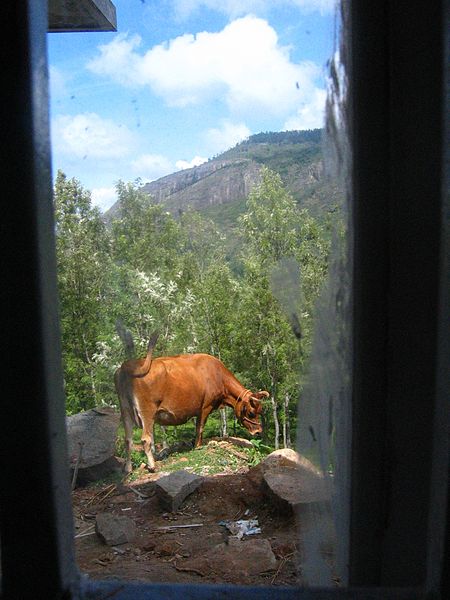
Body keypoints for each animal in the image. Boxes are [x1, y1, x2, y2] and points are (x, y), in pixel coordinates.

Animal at [115, 336, 268, 472]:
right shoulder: (205, 407)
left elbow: (197, 428)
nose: (258, 431)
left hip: (125, 410)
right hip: (147, 412)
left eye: (260, 411)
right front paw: (198, 446)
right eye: (251, 412)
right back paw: (152, 466)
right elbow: (200, 428)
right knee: (146, 439)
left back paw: (128, 468)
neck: (218, 376)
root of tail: (127, 365)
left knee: (128, 440)